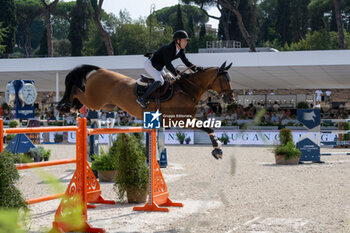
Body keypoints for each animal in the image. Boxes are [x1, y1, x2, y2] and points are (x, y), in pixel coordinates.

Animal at [57, 61, 235, 159]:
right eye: (224, 79)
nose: (231, 99)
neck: (186, 89)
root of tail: (99, 70)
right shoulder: (181, 119)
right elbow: (207, 127)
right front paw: (217, 149)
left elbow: (208, 127)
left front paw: (218, 148)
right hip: (95, 100)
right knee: (75, 89)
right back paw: (64, 106)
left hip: (106, 105)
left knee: (79, 94)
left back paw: (70, 107)